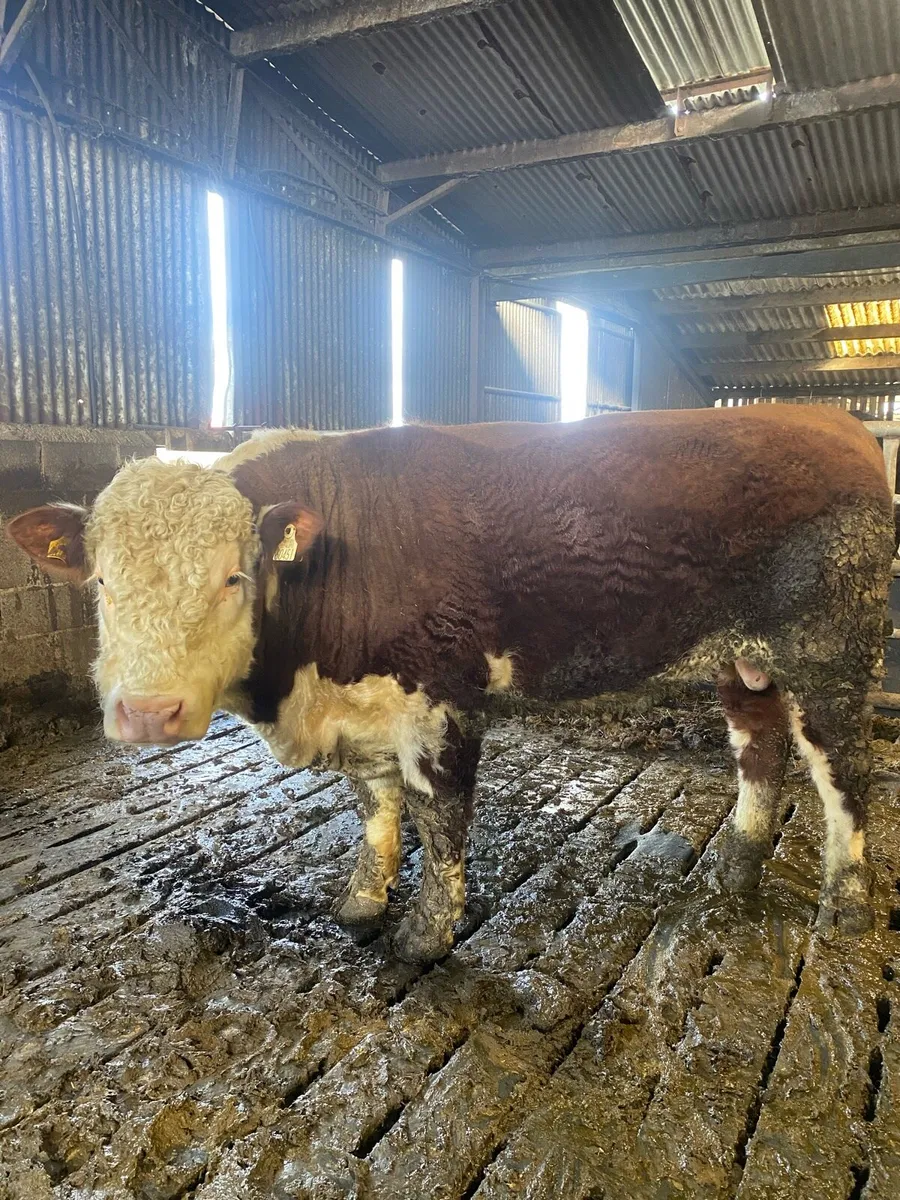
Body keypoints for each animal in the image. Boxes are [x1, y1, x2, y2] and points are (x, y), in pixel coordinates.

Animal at [6, 406, 894, 962]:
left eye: (233, 577)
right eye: (101, 583)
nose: (147, 712)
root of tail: (831, 421)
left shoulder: (444, 697)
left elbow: (441, 819)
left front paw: (426, 936)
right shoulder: (363, 708)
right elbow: (374, 811)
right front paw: (361, 903)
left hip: (833, 655)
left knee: (844, 775)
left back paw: (846, 904)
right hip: (742, 662)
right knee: (760, 751)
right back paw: (735, 869)